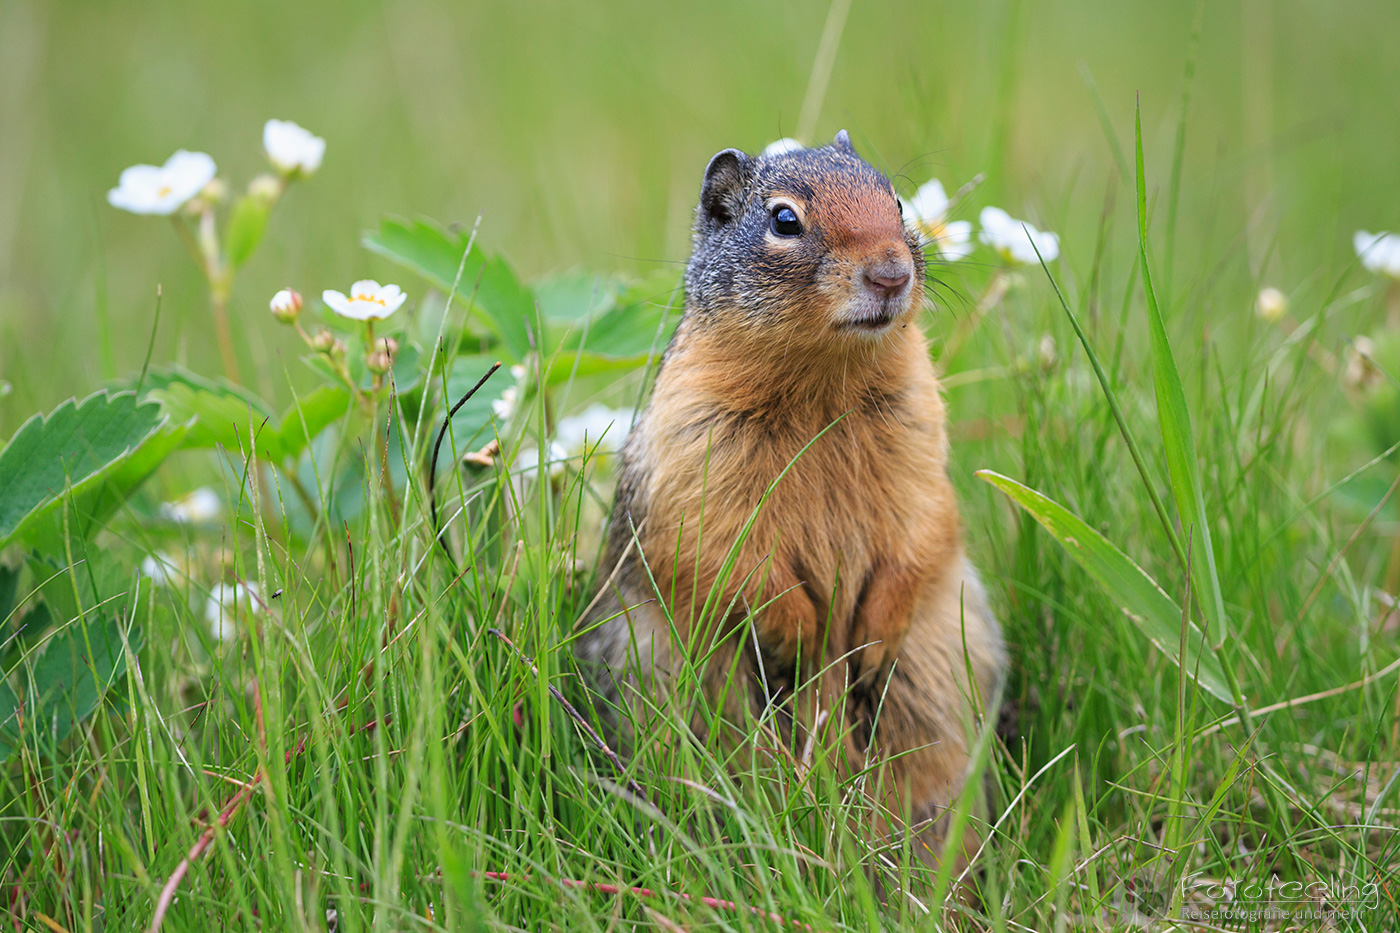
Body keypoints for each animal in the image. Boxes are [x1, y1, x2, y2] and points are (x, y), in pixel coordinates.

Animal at [575, 130, 1005, 863]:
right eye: (783, 220)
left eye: (896, 201)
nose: (891, 274)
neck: (823, 384)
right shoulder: (695, 457)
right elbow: (723, 556)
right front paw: (804, 635)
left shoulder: (921, 447)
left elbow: (924, 531)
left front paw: (870, 641)